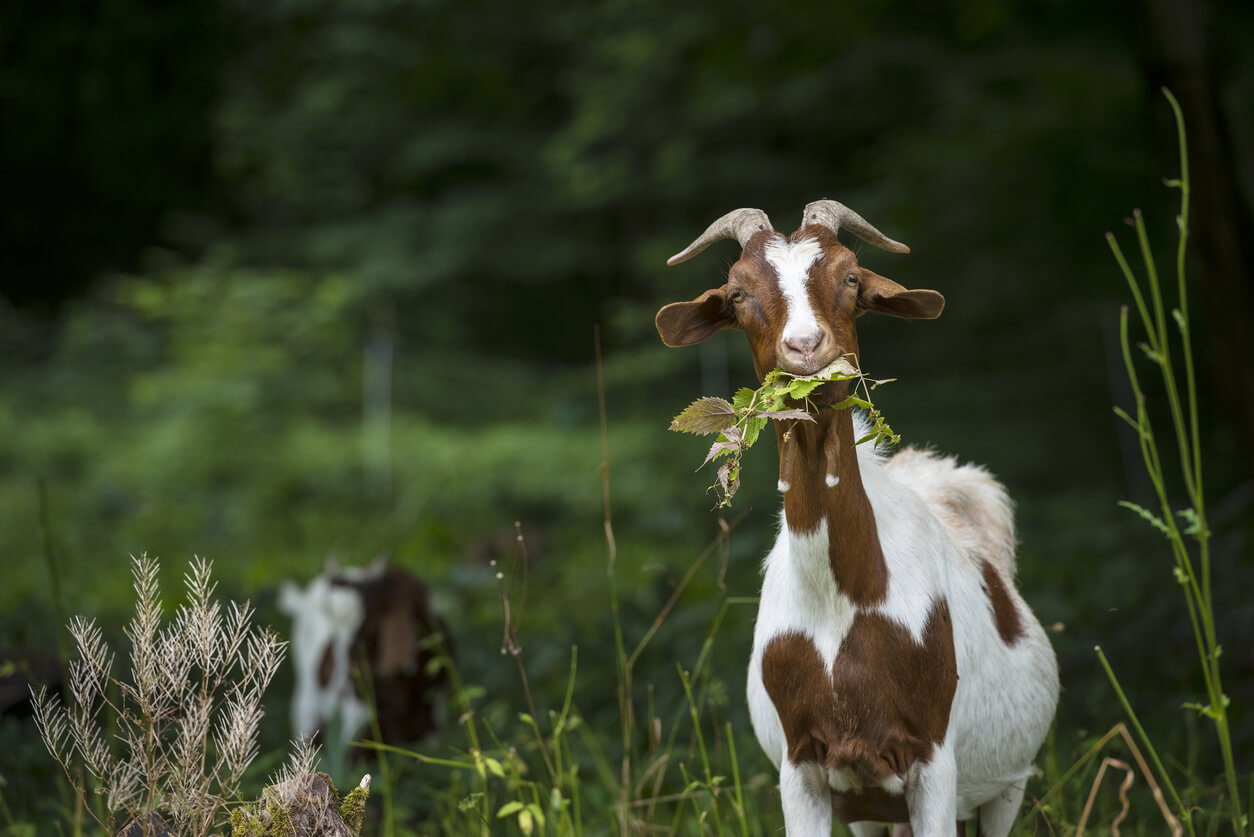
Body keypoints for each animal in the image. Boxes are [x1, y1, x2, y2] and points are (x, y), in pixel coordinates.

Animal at [657, 203, 1058, 837]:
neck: (845, 601)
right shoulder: (804, 766)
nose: (805, 346)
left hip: (1008, 783)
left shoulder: (933, 760)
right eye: (739, 292)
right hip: (871, 806)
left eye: (850, 277)